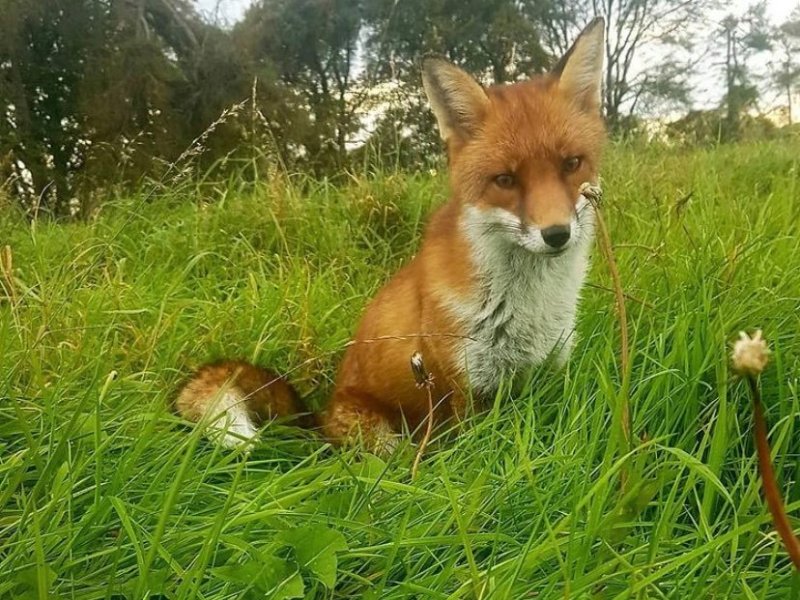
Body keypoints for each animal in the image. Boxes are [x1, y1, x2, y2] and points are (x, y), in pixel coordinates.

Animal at [176, 18, 606, 451]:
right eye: (505, 180)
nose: (556, 234)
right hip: (385, 439)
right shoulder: (465, 386)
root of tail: (320, 421)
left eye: (572, 164)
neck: (530, 305)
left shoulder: (550, 368)